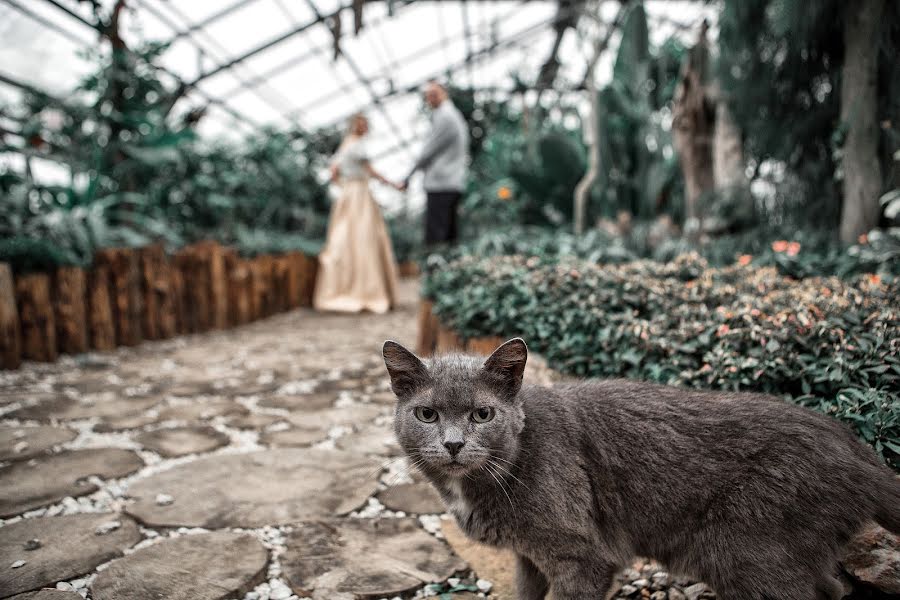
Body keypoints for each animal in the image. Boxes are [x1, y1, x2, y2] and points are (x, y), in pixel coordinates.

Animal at [382, 338, 900, 600]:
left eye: (482, 415)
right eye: (427, 414)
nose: (452, 444)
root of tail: (858, 449)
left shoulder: (582, 558)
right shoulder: (529, 557)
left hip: (747, 553)